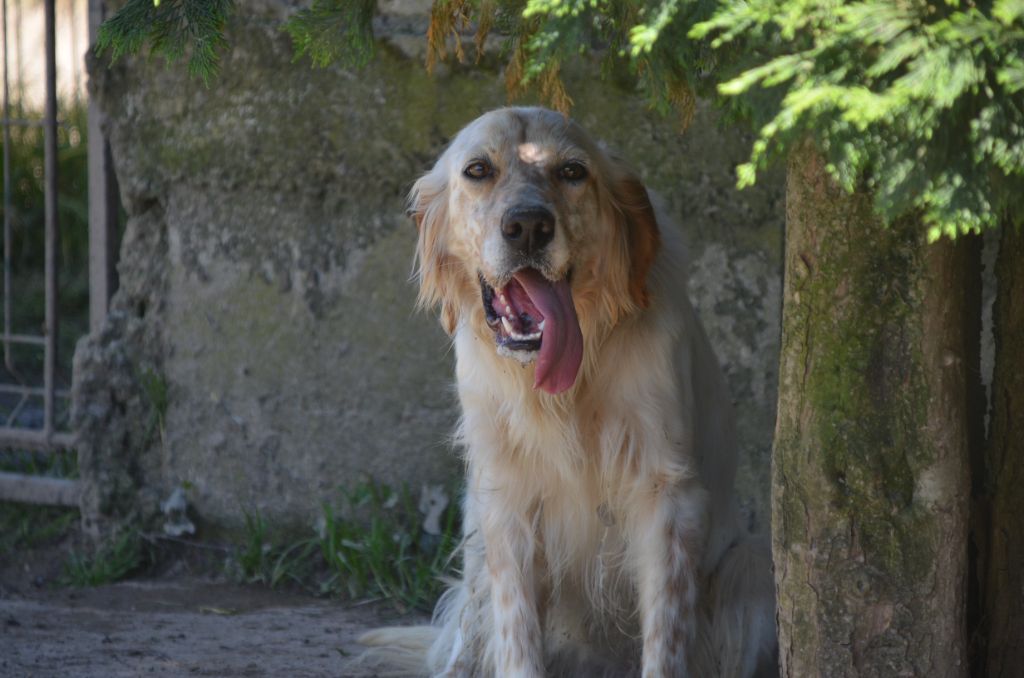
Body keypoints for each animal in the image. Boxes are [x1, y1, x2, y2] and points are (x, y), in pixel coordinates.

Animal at [362, 109, 774, 675]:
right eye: (477, 169)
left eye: (573, 172)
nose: (528, 226)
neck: (562, 389)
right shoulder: (506, 502)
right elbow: (517, 639)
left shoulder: (667, 497)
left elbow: (665, 642)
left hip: (750, 569)